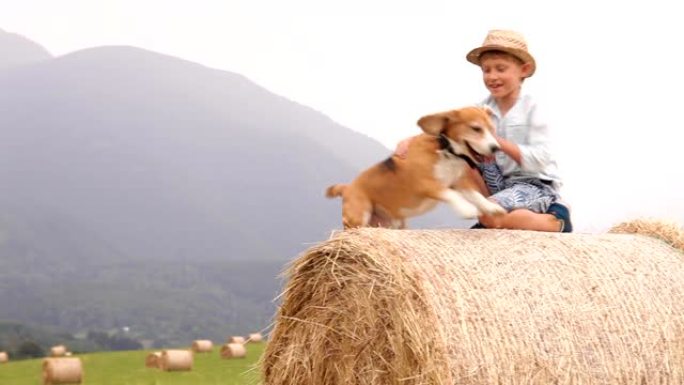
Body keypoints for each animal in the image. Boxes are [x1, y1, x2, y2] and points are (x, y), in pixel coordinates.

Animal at [326, 106, 508, 228]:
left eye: (492, 129)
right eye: (476, 128)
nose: (496, 148)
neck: (445, 149)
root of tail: (347, 187)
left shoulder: (459, 182)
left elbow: (477, 196)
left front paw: (492, 207)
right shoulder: (427, 184)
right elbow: (451, 195)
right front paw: (466, 209)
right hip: (359, 216)